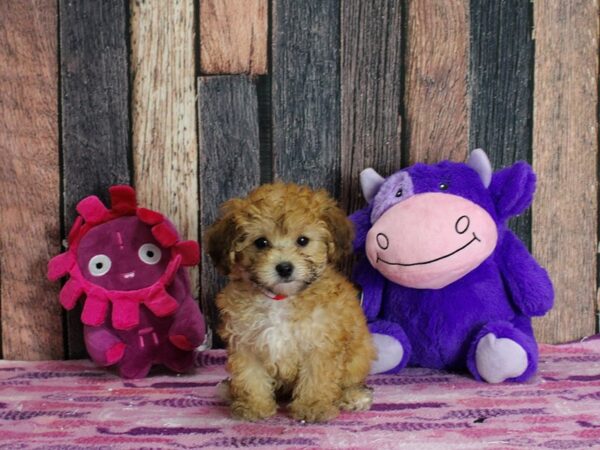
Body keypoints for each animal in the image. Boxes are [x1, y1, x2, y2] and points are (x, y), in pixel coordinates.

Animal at [206, 182, 376, 422]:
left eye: (302, 240)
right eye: (261, 242)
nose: (284, 267)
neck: (281, 298)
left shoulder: (320, 342)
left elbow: (317, 377)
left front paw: (313, 406)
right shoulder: (246, 343)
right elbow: (250, 377)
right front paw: (254, 407)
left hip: (358, 356)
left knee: (350, 380)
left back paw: (354, 396)